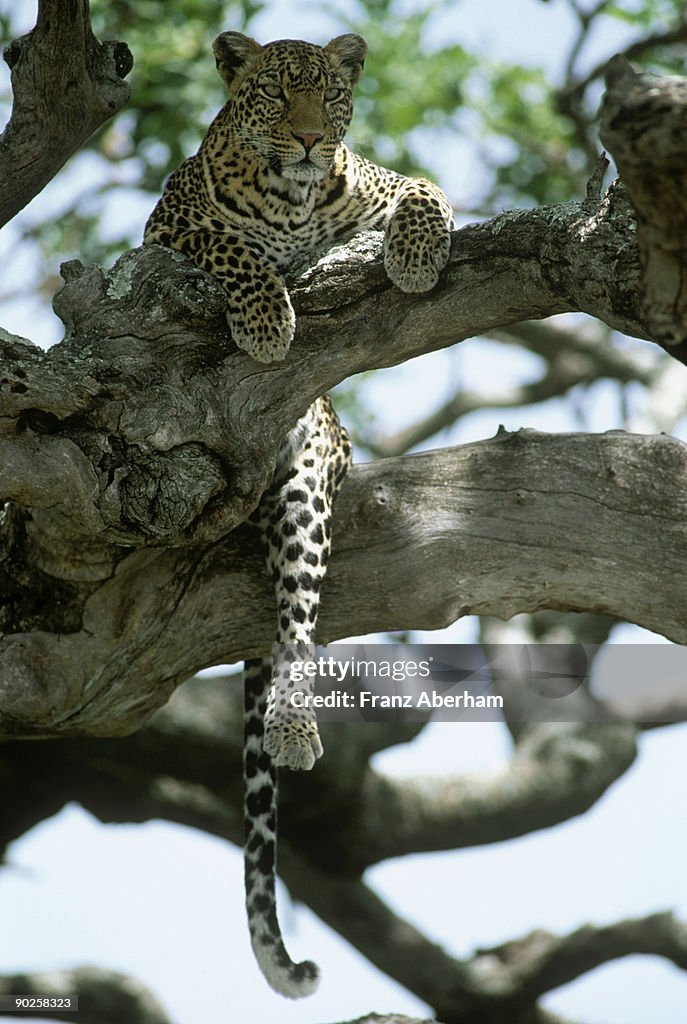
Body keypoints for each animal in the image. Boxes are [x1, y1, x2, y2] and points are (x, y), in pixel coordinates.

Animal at [144, 28, 454, 995]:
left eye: (330, 94)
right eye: (277, 95)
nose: (314, 140)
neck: (290, 200)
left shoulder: (383, 183)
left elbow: (423, 190)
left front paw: (416, 257)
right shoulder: (167, 230)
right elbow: (230, 248)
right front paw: (268, 321)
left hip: (308, 487)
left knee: (294, 620)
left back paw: (291, 723)